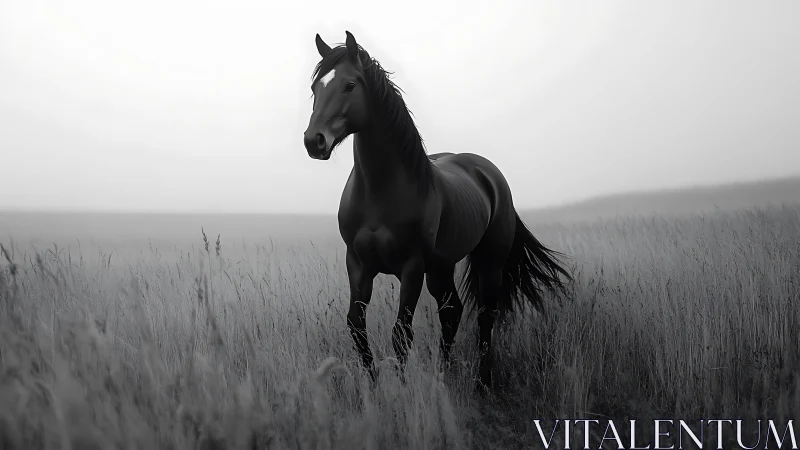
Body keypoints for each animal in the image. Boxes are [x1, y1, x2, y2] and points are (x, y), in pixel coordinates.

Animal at [302, 31, 572, 390]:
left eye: (349, 85)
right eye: (316, 88)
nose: (314, 141)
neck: (380, 192)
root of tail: (489, 174)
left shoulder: (411, 267)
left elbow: (401, 334)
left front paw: (401, 392)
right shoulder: (358, 264)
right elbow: (356, 327)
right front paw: (373, 389)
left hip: (488, 262)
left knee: (485, 316)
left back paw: (482, 383)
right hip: (441, 267)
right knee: (452, 311)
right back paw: (445, 375)